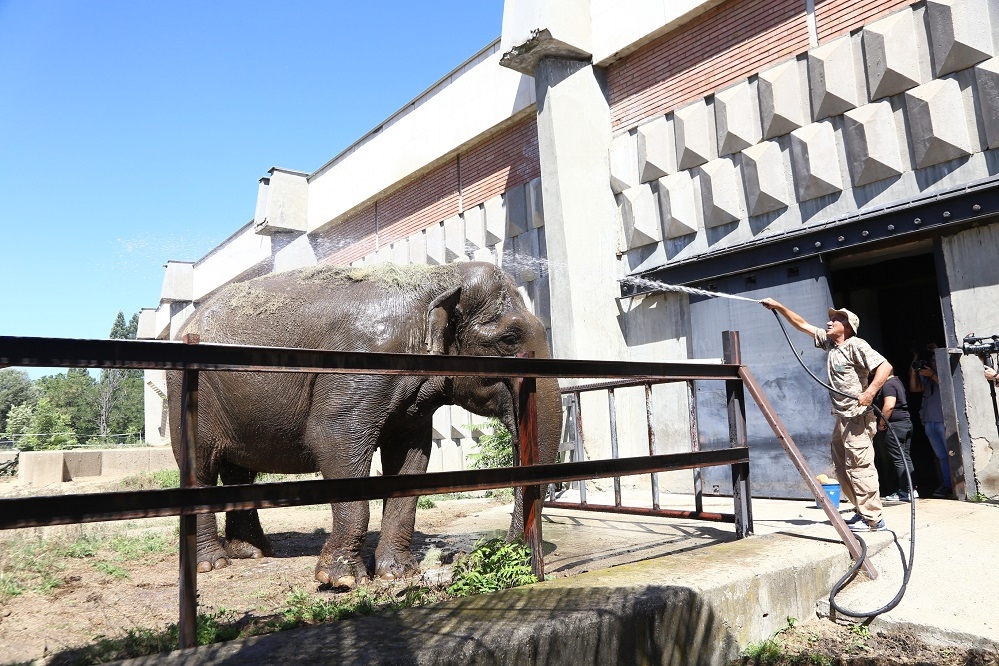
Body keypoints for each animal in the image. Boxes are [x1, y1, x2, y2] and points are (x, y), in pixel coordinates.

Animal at [168, 260, 568, 588]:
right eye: (510, 338)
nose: (506, 547)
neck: (437, 277)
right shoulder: (361, 365)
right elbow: (334, 442)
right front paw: (341, 580)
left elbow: (411, 460)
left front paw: (398, 574)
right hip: (190, 394)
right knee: (201, 468)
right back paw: (214, 564)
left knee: (240, 471)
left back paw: (253, 553)